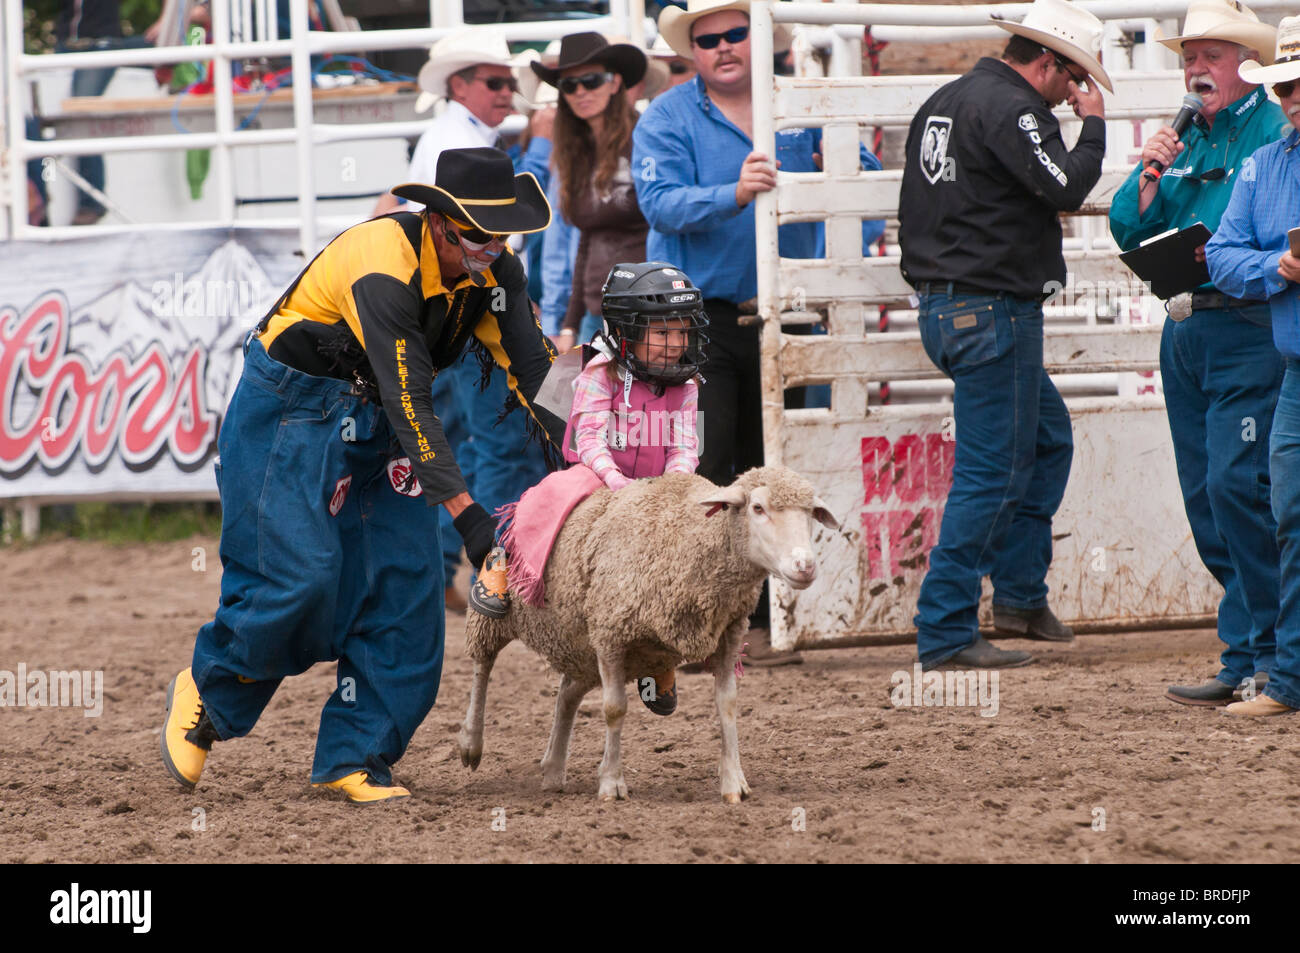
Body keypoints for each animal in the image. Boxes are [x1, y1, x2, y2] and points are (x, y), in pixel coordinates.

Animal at [462, 465, 837, 800]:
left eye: (810, 513)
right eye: (758, 508)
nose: (805, 566)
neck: (687, 537)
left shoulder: (728, 634)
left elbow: (727, 705)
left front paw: (734, 783)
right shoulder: (611, 635)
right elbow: (614, 708)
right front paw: (612, 784)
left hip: (583, 647)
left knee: (567, 693)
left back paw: (553, 769)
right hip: (501, 620)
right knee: (482, 667)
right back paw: (470, 743)